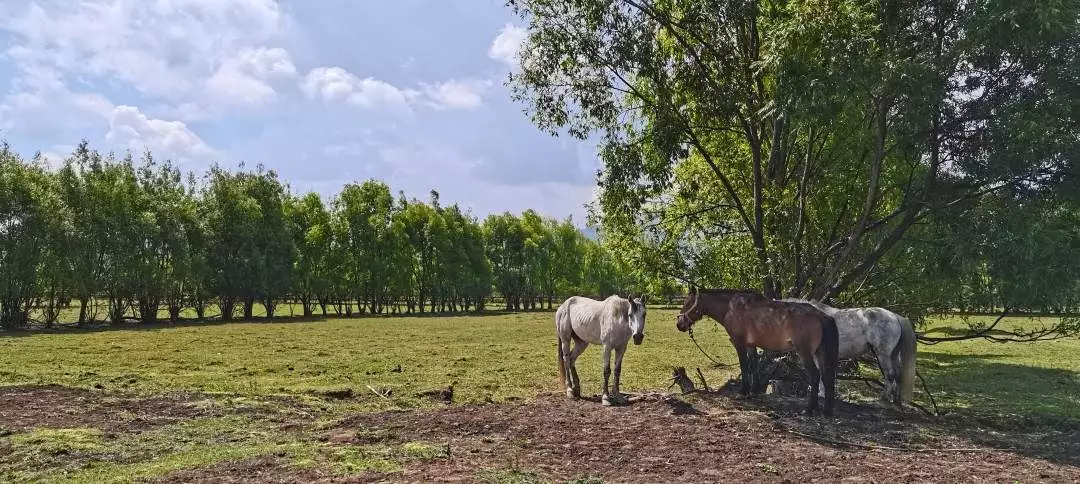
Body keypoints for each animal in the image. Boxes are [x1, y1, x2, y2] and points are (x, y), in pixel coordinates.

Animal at [673, 287, 842, 414]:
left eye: (688, 303)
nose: (679, 324)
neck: (731, 308)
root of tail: (820, 315)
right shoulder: (750, 345)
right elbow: (753, 366)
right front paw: (753, 392)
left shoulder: (739, 343)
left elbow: (744, 366)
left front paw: (743, 392)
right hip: (819, 353)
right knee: (826, 377)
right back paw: (826, 411)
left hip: (805, 353)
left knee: (815, 376)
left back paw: (809, 409)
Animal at [781, 298, 915, 404]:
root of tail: (895, 316)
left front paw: (821, 394)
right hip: (893, 355)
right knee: (897, 375)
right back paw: (896, 400)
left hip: (884, 355)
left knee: (890, 375)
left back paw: (884, 398)